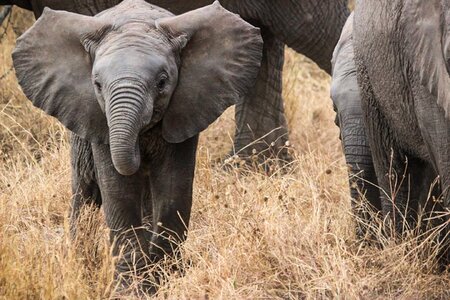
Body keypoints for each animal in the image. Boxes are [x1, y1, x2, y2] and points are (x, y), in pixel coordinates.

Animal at [13, 0, 264, 288]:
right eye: (97, 85)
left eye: (162, 82)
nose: (138, 149)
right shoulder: (98, 121)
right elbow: (119, 192)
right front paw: (133, 286)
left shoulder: (186, 109)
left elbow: (173, 189)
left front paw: (164, 277)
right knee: (84, 190)